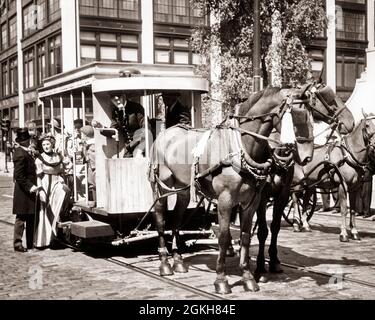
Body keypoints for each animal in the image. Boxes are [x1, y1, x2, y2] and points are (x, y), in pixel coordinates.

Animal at [150, 86, 318, 294]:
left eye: (312, 115)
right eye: (295, 115)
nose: (307, 157)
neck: (240, 147)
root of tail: (165, 133)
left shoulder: (252, 201)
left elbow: (246, 237)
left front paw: (248, 277)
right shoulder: (226, 200)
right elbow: (223, 237)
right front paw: (221, 279)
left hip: (182, 190)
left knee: (176, 220)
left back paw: (178, 260)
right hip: (161, 187)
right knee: (160, 218)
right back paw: (164, 263)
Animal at [256, 83, 356, 280]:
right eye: (329, 98)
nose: (351, 121)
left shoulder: (282, 195)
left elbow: (275, 227)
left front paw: (274, 261)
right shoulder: (262, 197)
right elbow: (262, 230)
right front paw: (261, 265)